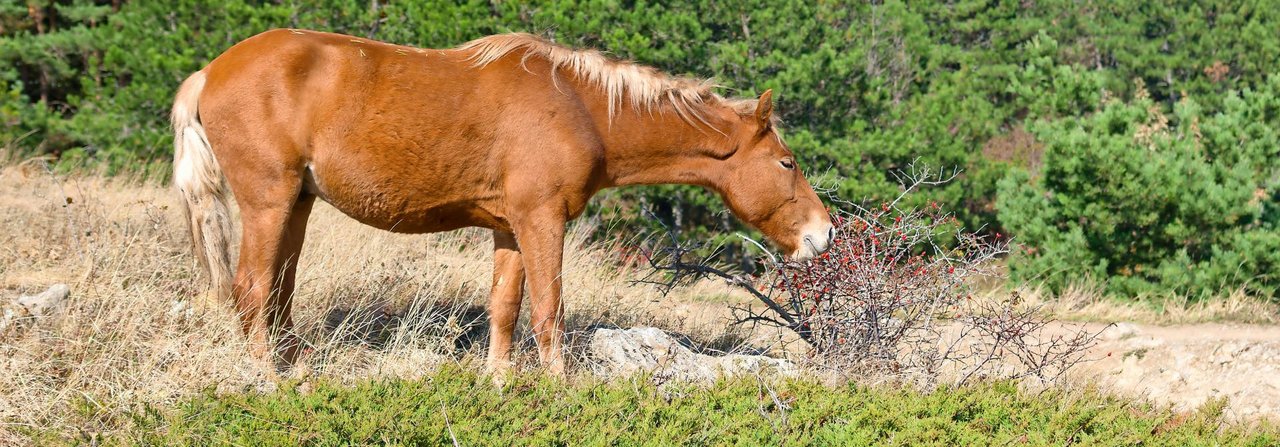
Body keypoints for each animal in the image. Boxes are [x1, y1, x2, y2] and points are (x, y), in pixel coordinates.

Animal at [170, 28, 834, 371]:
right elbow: (549, 311)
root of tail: (209, 73)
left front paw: (500, 383)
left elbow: (505, 309)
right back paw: (273, 380)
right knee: (251, 289)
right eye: (787, 162)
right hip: (268, 203)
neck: (580, 106)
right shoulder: (543, 219)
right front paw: (564, 390)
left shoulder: (510, 227)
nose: (823, 234)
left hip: (297, 206)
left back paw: (297, 367)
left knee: (277, 294)